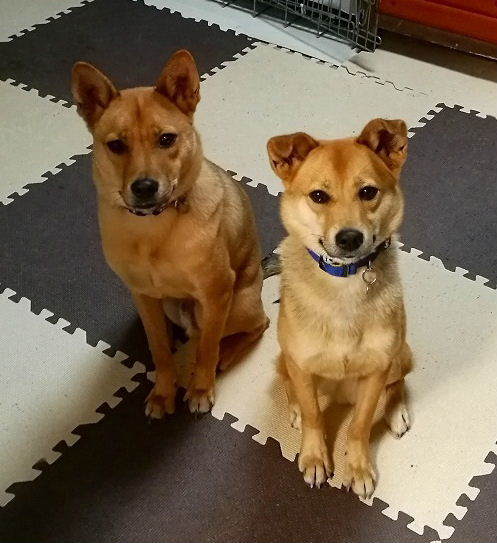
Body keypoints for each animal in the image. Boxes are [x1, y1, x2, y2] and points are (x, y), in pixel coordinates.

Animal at [71, 50, 268, 417]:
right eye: (116, 145)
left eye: (167, 139)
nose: (145, 187)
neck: (153, 229)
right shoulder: (144, 296)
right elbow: (159, 350)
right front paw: (163, 393)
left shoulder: (216, 293)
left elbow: (207, 350)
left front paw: (201, 389)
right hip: (170, 307)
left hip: (236, 306)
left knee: (253, 327)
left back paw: (227, 354)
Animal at [267, 119, 412, 497]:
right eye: (319, 196)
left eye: (368, 192)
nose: (349, 238)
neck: (344, 283)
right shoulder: (301, 364)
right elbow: (314, 416)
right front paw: (315, 457)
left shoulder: (377, 369)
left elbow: (359, 426)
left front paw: (358, 468)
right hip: (284, 358)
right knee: (291, 387)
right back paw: (295, 409)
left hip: (400, 354)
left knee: (398, 384)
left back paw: (396, 412)